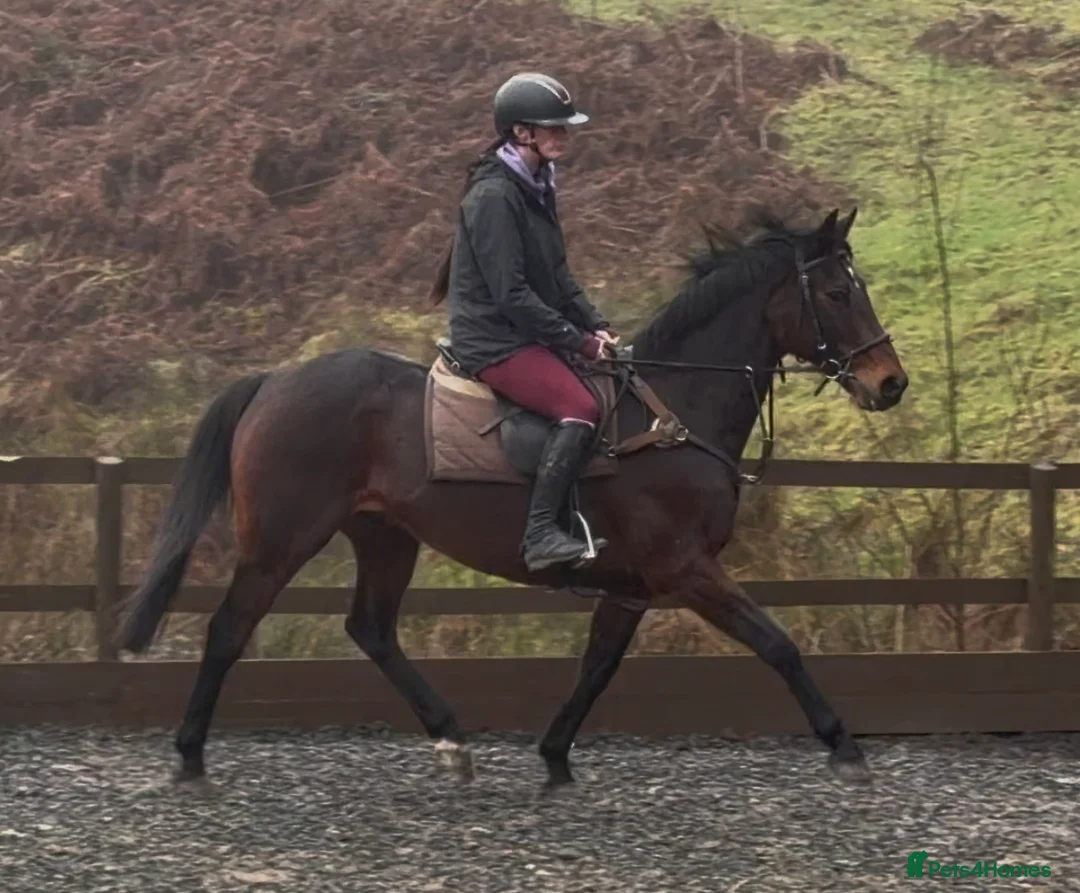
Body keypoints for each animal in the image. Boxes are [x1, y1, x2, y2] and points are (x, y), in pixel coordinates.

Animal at [116, 207, 907, 791]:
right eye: (838, 293)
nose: (890, 383)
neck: (671, 413)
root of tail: (276, 379)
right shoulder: (686, 569)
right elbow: (777, 644)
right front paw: (844, 746)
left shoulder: (634, 585)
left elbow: (598, 666)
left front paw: (555, 757)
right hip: (283, 539)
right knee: (230, 627)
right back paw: (190, 757)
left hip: (384, 535)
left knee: (371, 629)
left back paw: (451, 740)